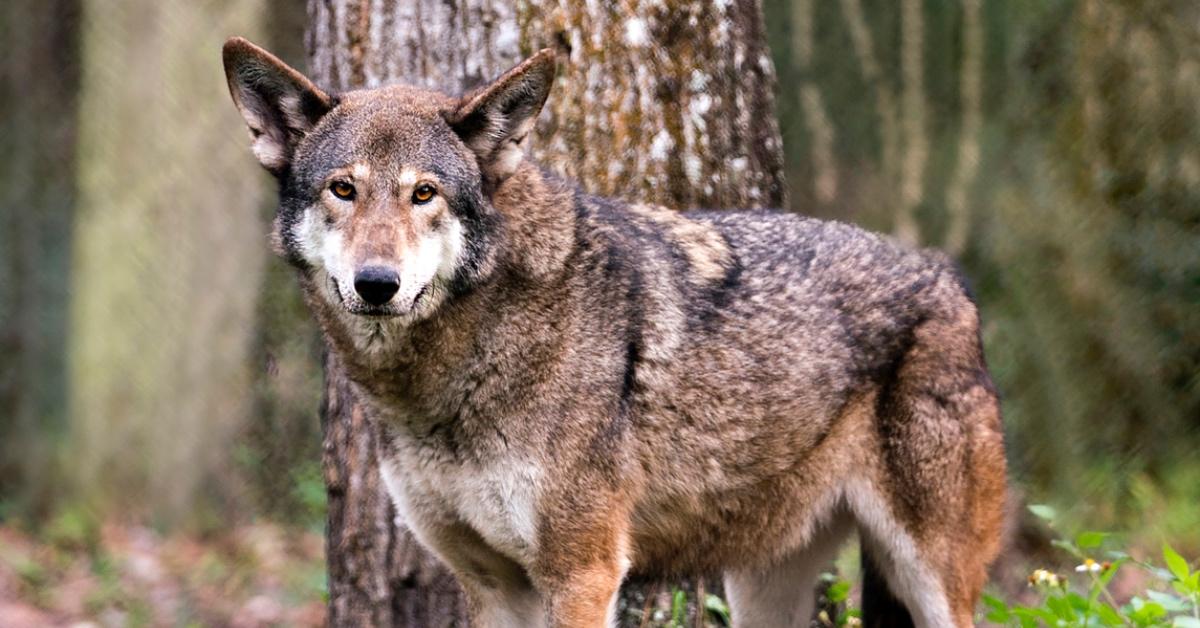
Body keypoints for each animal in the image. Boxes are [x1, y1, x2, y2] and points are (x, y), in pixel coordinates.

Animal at [223, 37, 1007, 627]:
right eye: (343, 189)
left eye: (424, 194)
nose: (376, 283)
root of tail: (947, 277)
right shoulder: (493, 585)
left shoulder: (583, 570)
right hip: (761, 585)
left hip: (931, 579)